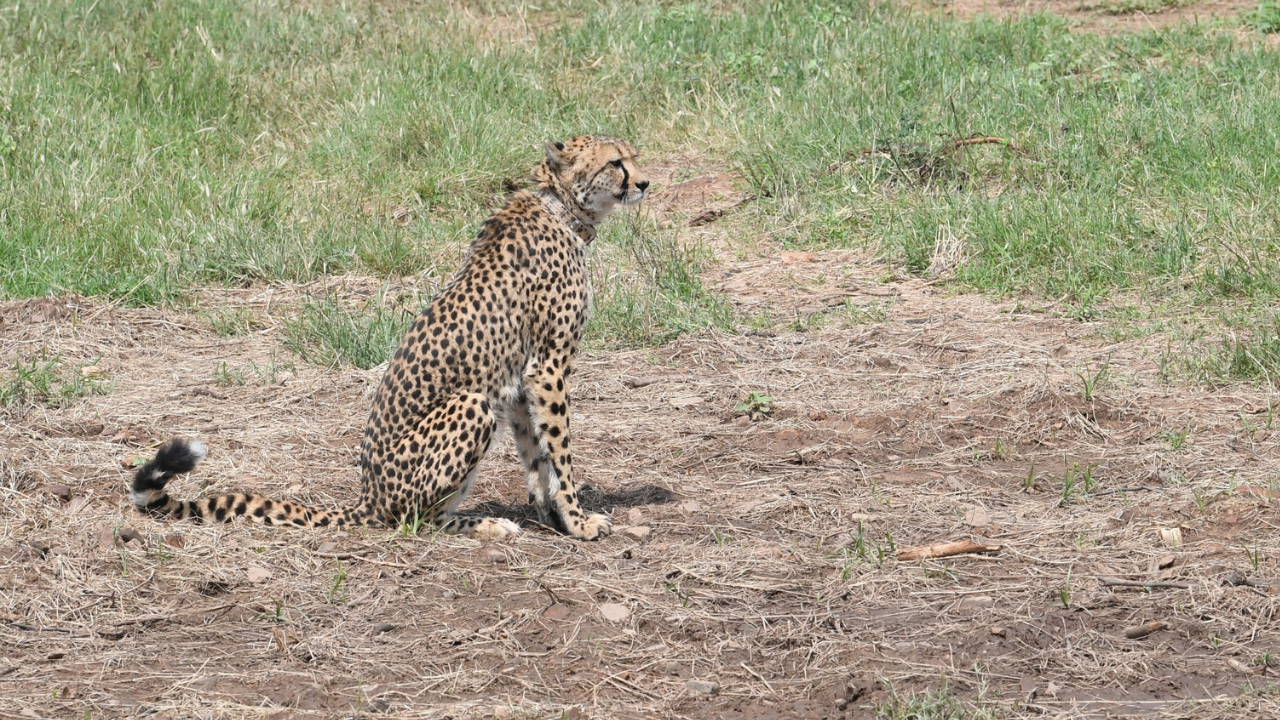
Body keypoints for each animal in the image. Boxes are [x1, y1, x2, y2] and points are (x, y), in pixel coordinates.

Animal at [129, 134, 650, 538]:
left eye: (634, 156)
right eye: (615, 162)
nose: (645, 183)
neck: (561, 207)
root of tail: (368, 495)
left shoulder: (522, 381)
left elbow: (536, 455)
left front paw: (553, 516)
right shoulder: (547, 368)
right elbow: (559, 452)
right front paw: (579, 522)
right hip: (471, 405)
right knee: (413, 519)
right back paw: (485, 525)